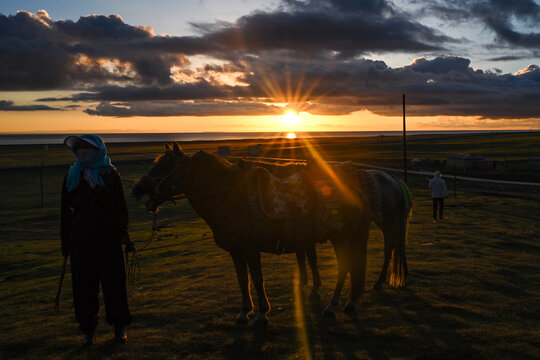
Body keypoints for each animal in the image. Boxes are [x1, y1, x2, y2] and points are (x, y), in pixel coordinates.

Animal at [133, 143, 412, 324]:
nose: (137, 189)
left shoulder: (251, 249)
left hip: (344, 236)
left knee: (347, 266)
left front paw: (261, 313)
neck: (229, 196)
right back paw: (347, 303)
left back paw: (333, 306)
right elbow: (242, 279)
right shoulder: (236, 252)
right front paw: (244, 311)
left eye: (166, 166)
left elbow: (257, 279)